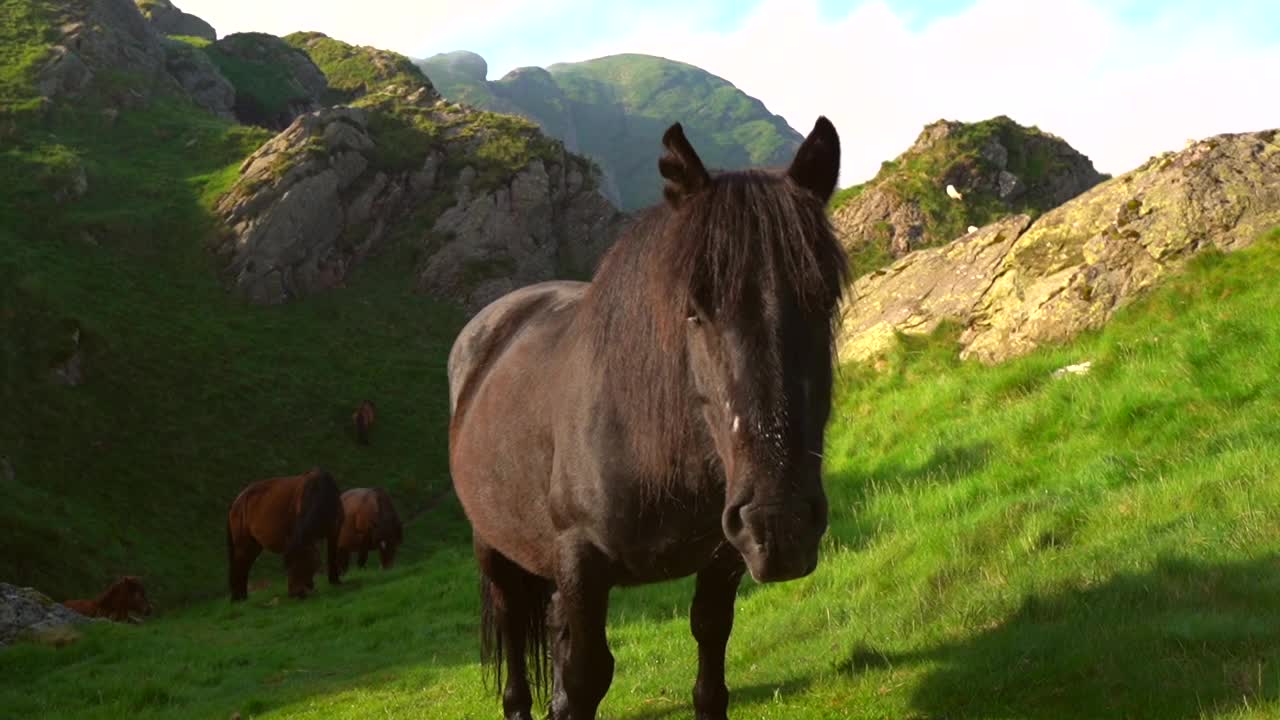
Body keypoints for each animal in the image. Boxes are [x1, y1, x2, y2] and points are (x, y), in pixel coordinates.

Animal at [225, 466, 345, 599]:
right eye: (288, 565)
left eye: (306, 563)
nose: (295, 594)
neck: (322, 494)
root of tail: (236, 502)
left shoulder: (334, 531)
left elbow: (332, 555)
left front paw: (334, 581)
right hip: (242, 543)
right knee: (239, 566)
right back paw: (237, 598)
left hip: (253, 545)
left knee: (244, 565)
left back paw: (243, 597)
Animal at [450, 119, 849, 717]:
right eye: (693, 309)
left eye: (823, 299)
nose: (780, 523)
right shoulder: (581, 562)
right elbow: (587, 675)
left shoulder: (723, 556)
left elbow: (709, 654)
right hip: (494, 547)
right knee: (512, 626)